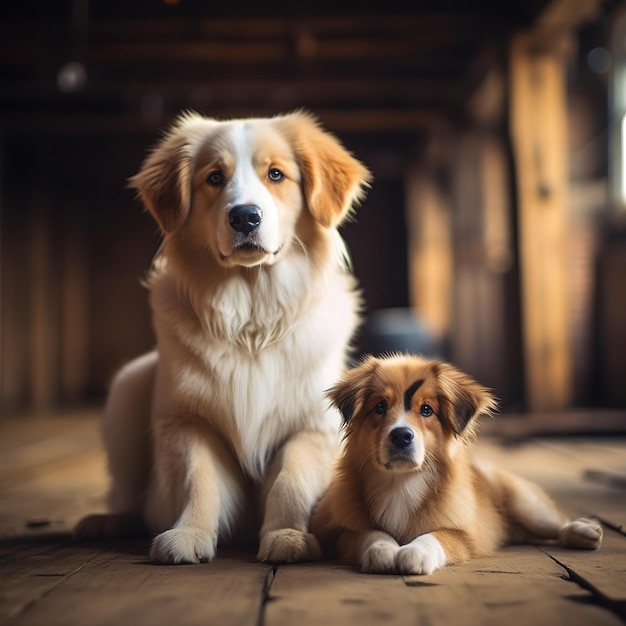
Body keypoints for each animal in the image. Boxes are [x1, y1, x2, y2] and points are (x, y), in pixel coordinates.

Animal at [75, 109, 372, 564]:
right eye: (214, 177)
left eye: (276, 174)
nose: (245, 216)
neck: (252, 317)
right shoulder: (188, 421)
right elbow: (199, 480)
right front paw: (189, 534)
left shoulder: (309, 426)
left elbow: (291, 481)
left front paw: (286, 535)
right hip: (128, 387)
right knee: (130, 497)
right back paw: (107, 521)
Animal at [310, 354, 604, 572]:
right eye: (380, 407)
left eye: (426, 410)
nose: (402, 435)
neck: (400, 482)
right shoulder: (337, 533)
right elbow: (366, 532)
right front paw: (383, 549)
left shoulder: (464, 535)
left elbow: (437, 536)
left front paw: (415, 553)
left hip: (524, 503)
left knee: (554, 523)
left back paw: (584, 530)